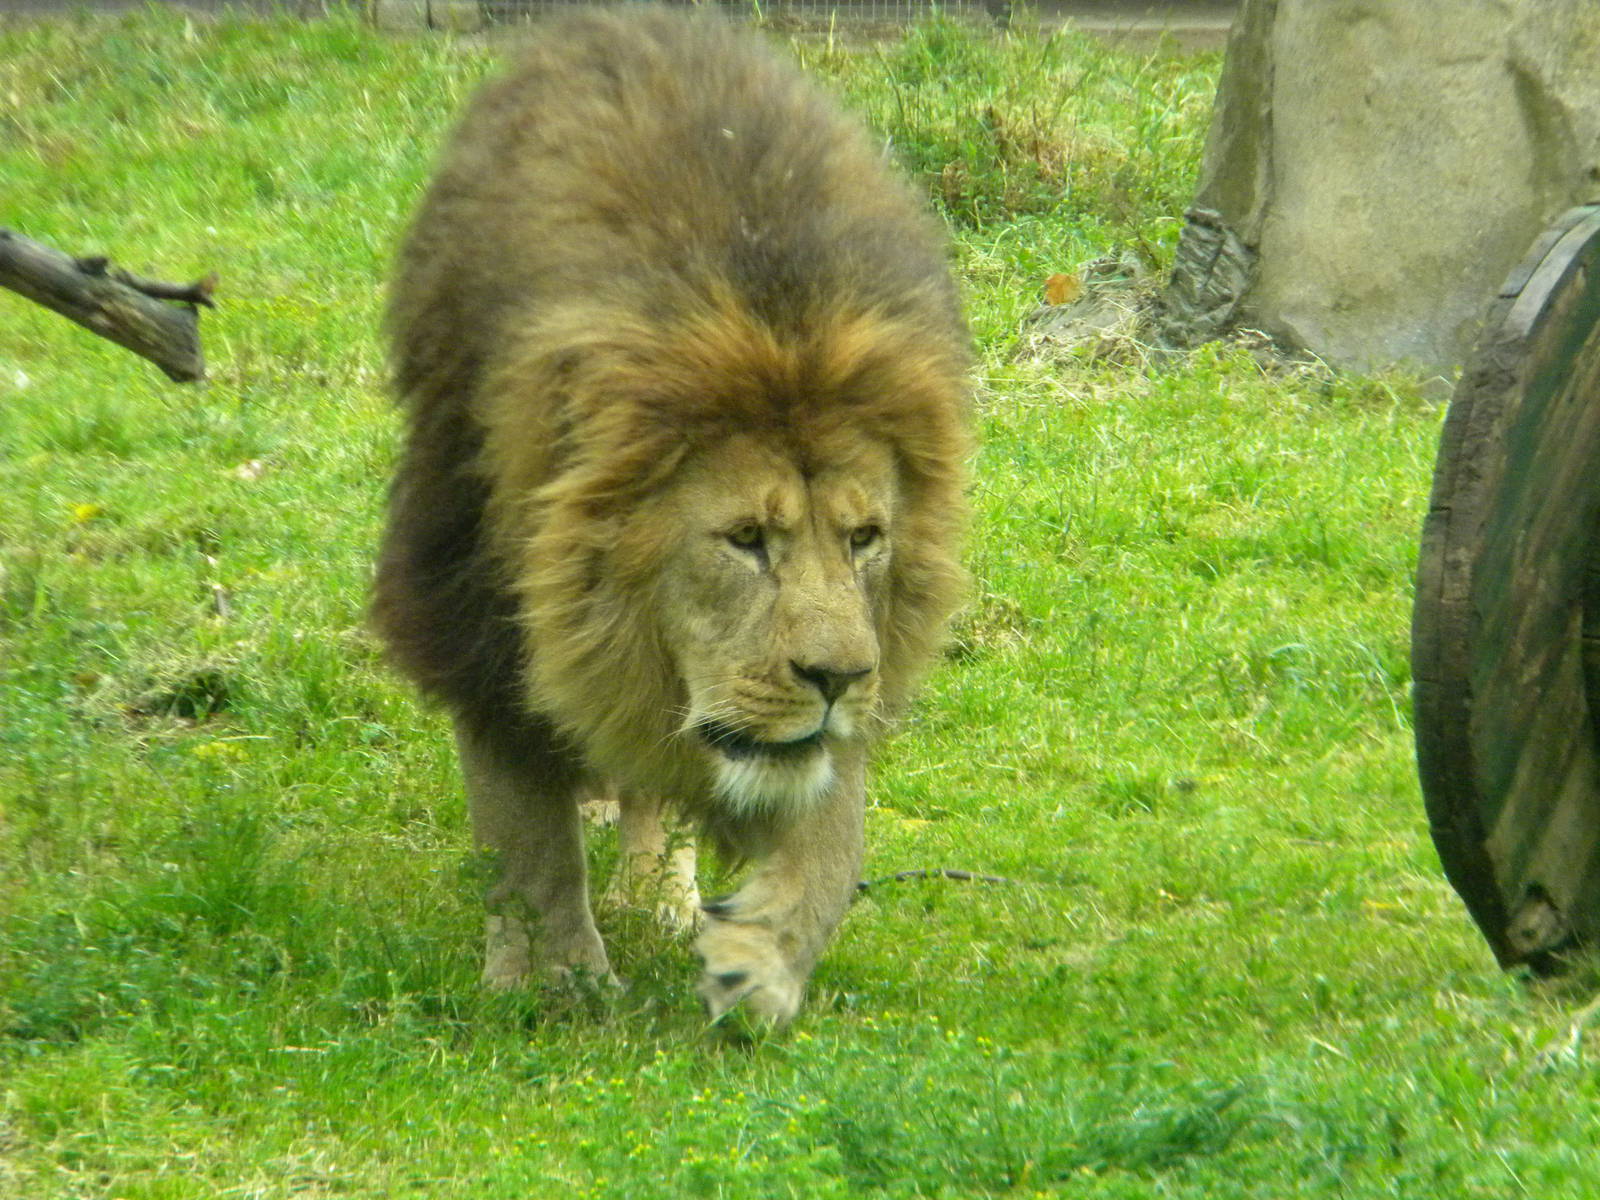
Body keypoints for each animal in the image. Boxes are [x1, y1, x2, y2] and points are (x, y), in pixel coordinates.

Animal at [371, 6, 972, 1025]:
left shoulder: (859, 657)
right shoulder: (473, 607)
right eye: (746, 541)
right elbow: (525, 829)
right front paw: (556, 986)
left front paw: (766, 955)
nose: (836, 678)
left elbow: (838, 820)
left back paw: (660, 893)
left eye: (864, 538)